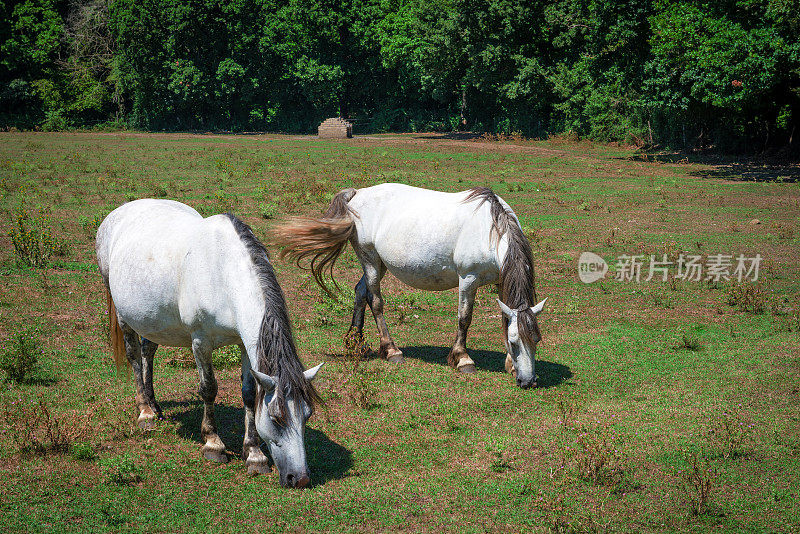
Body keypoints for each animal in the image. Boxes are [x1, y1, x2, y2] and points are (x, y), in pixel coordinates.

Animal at [98, 201, 324, 490]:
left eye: (307, 415)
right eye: (276, 418)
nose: (300, 478)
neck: (222, 273)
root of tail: (119, 212)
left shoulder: (244, 344)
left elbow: (248, 394)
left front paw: (254, 454)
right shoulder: (200, 342)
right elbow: (208, 389)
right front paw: (213, 444)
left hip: (152, 318)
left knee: (148, 350)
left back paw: (154, 404)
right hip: (123, 315)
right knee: (135, 356)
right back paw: (145, 412)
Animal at [274, 184, 544, 390]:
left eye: (536, 340)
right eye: (515, 343)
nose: (528, 381)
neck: (489, 229)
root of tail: (358, 194)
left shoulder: (500, 280)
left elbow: (505, 318)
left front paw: (509, 365)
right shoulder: (468, 279)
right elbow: (464, 318)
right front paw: (462, 359)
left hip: (379, 263)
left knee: (360, 291)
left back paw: (356, 342)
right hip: (370, 259)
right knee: (375, 300)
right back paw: (391, 350)